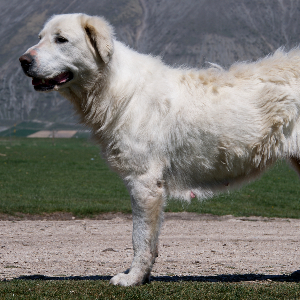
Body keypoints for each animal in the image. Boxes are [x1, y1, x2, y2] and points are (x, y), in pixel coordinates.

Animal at [19, 13, 300, 286]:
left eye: (61, 39)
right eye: (40, 38)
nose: (23, 61)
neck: (116, 89)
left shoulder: (144, 182)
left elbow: (140, 237)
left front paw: (132, 278)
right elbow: (149, 240)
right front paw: (142, 277)